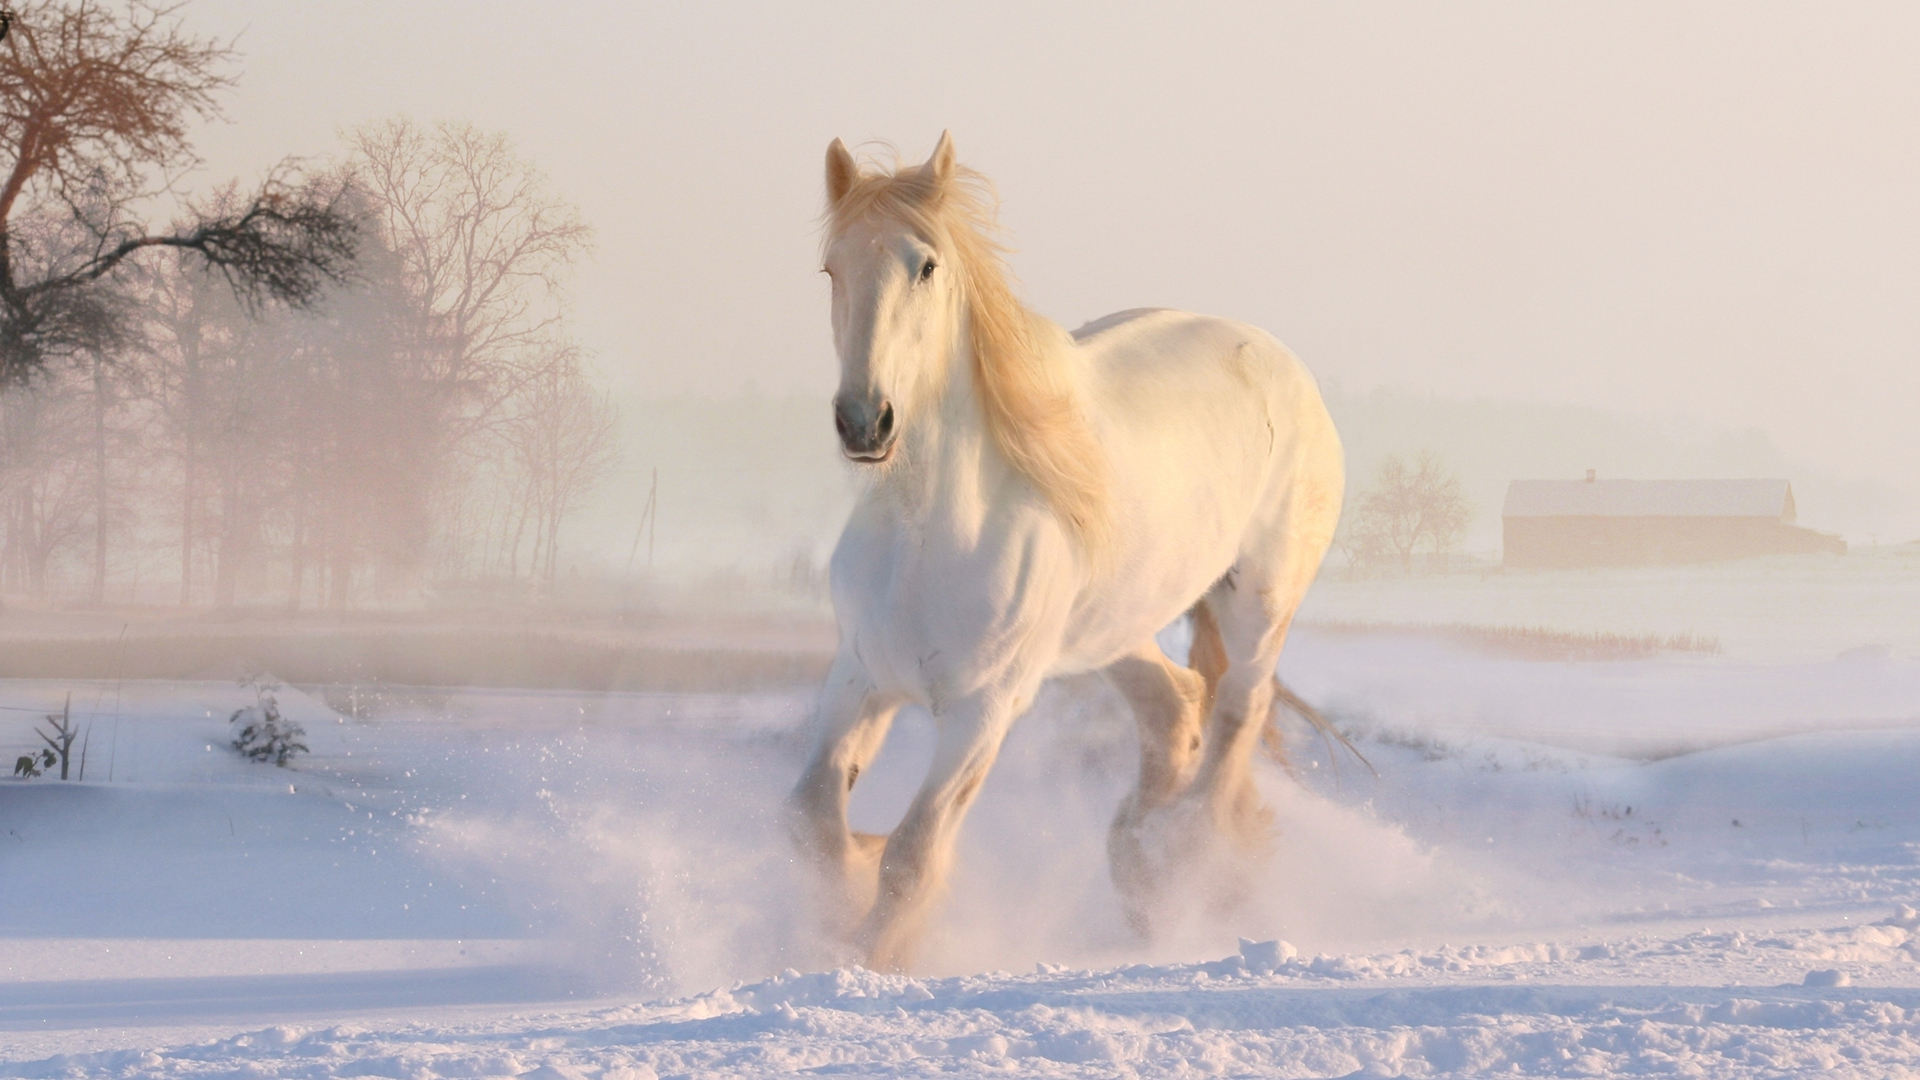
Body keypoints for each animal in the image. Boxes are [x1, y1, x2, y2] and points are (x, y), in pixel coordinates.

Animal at [787, 132, 1344, 968]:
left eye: (926, 265)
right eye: (832, 268)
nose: (864, 421)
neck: (929, 534)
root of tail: (1283, 364)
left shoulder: (984, 710)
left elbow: (913, 855)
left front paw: (873, 956)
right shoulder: (859, 677)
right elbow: (814, 823)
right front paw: (839, 909)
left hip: (1259, 602)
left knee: (1238, 712)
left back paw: (1185, 860)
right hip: (1113, 628)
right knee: (1175, 705)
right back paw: (1140, 864)